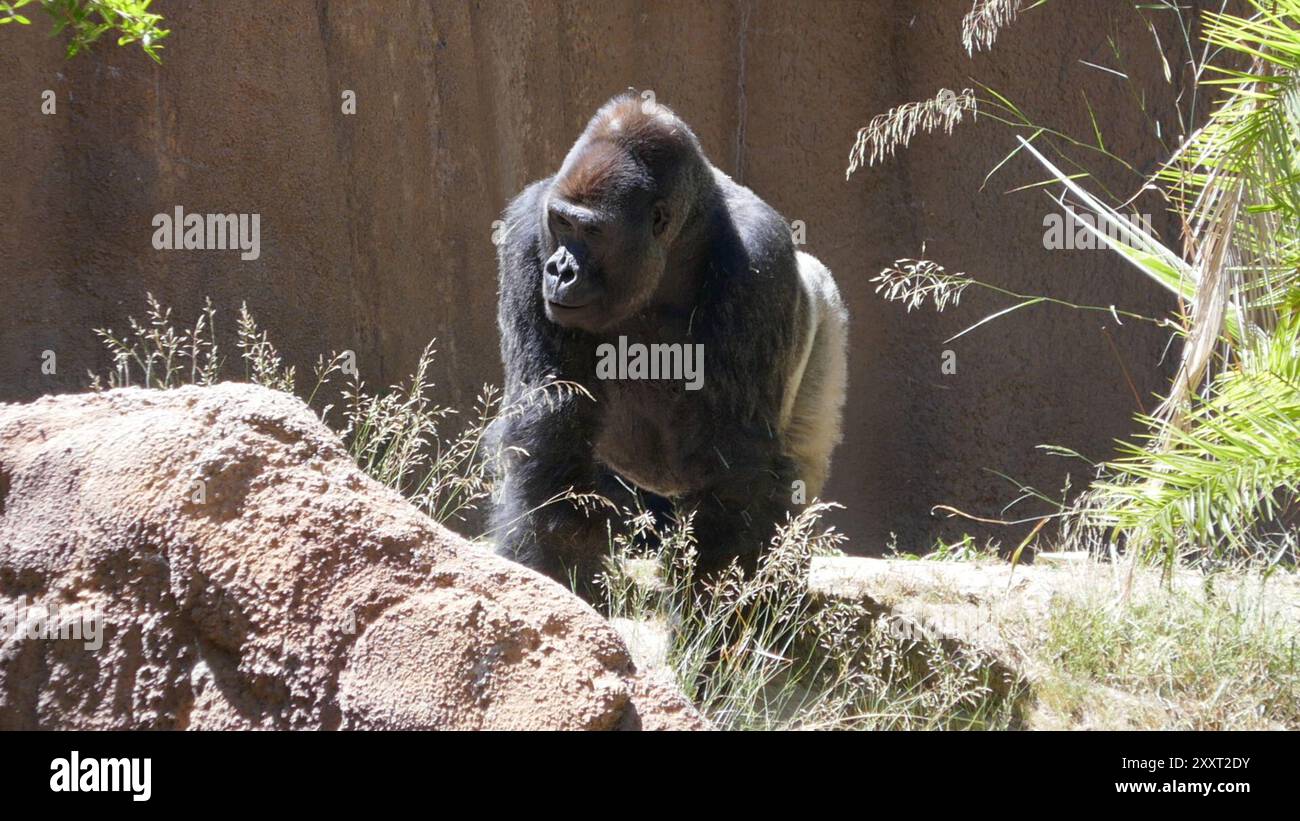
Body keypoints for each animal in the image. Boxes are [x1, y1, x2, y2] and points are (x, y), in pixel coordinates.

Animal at [490, 92, 847, 594]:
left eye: (592, 231)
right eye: (561, 223)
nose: (559, 270)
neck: (678, 243)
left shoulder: (760, 258)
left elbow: (731, 454)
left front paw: (717, 594)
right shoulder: (527, 229)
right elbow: (550, 412)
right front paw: (554, 567)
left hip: (826, 315)